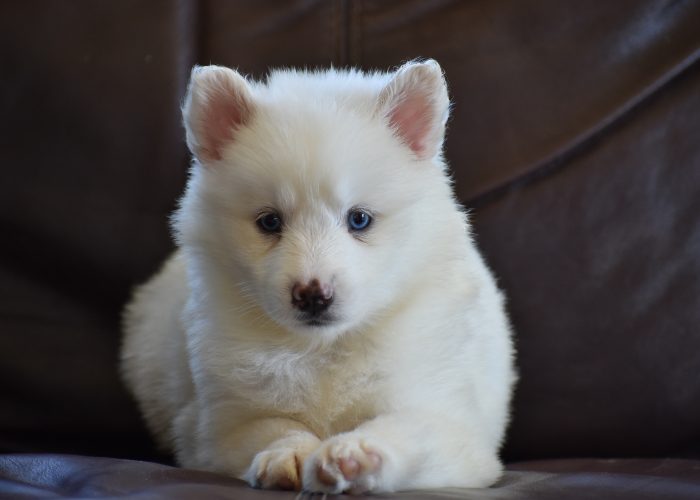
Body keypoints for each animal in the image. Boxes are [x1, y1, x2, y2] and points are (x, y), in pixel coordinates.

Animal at [119, 60, 516, 494]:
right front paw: (290, 452)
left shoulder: (448, 420)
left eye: (359, 219)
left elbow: (403, 429)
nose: (312, 294)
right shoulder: (216, 426)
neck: (322, 350)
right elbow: (272, 426)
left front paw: (356, 453)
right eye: (270, 222)